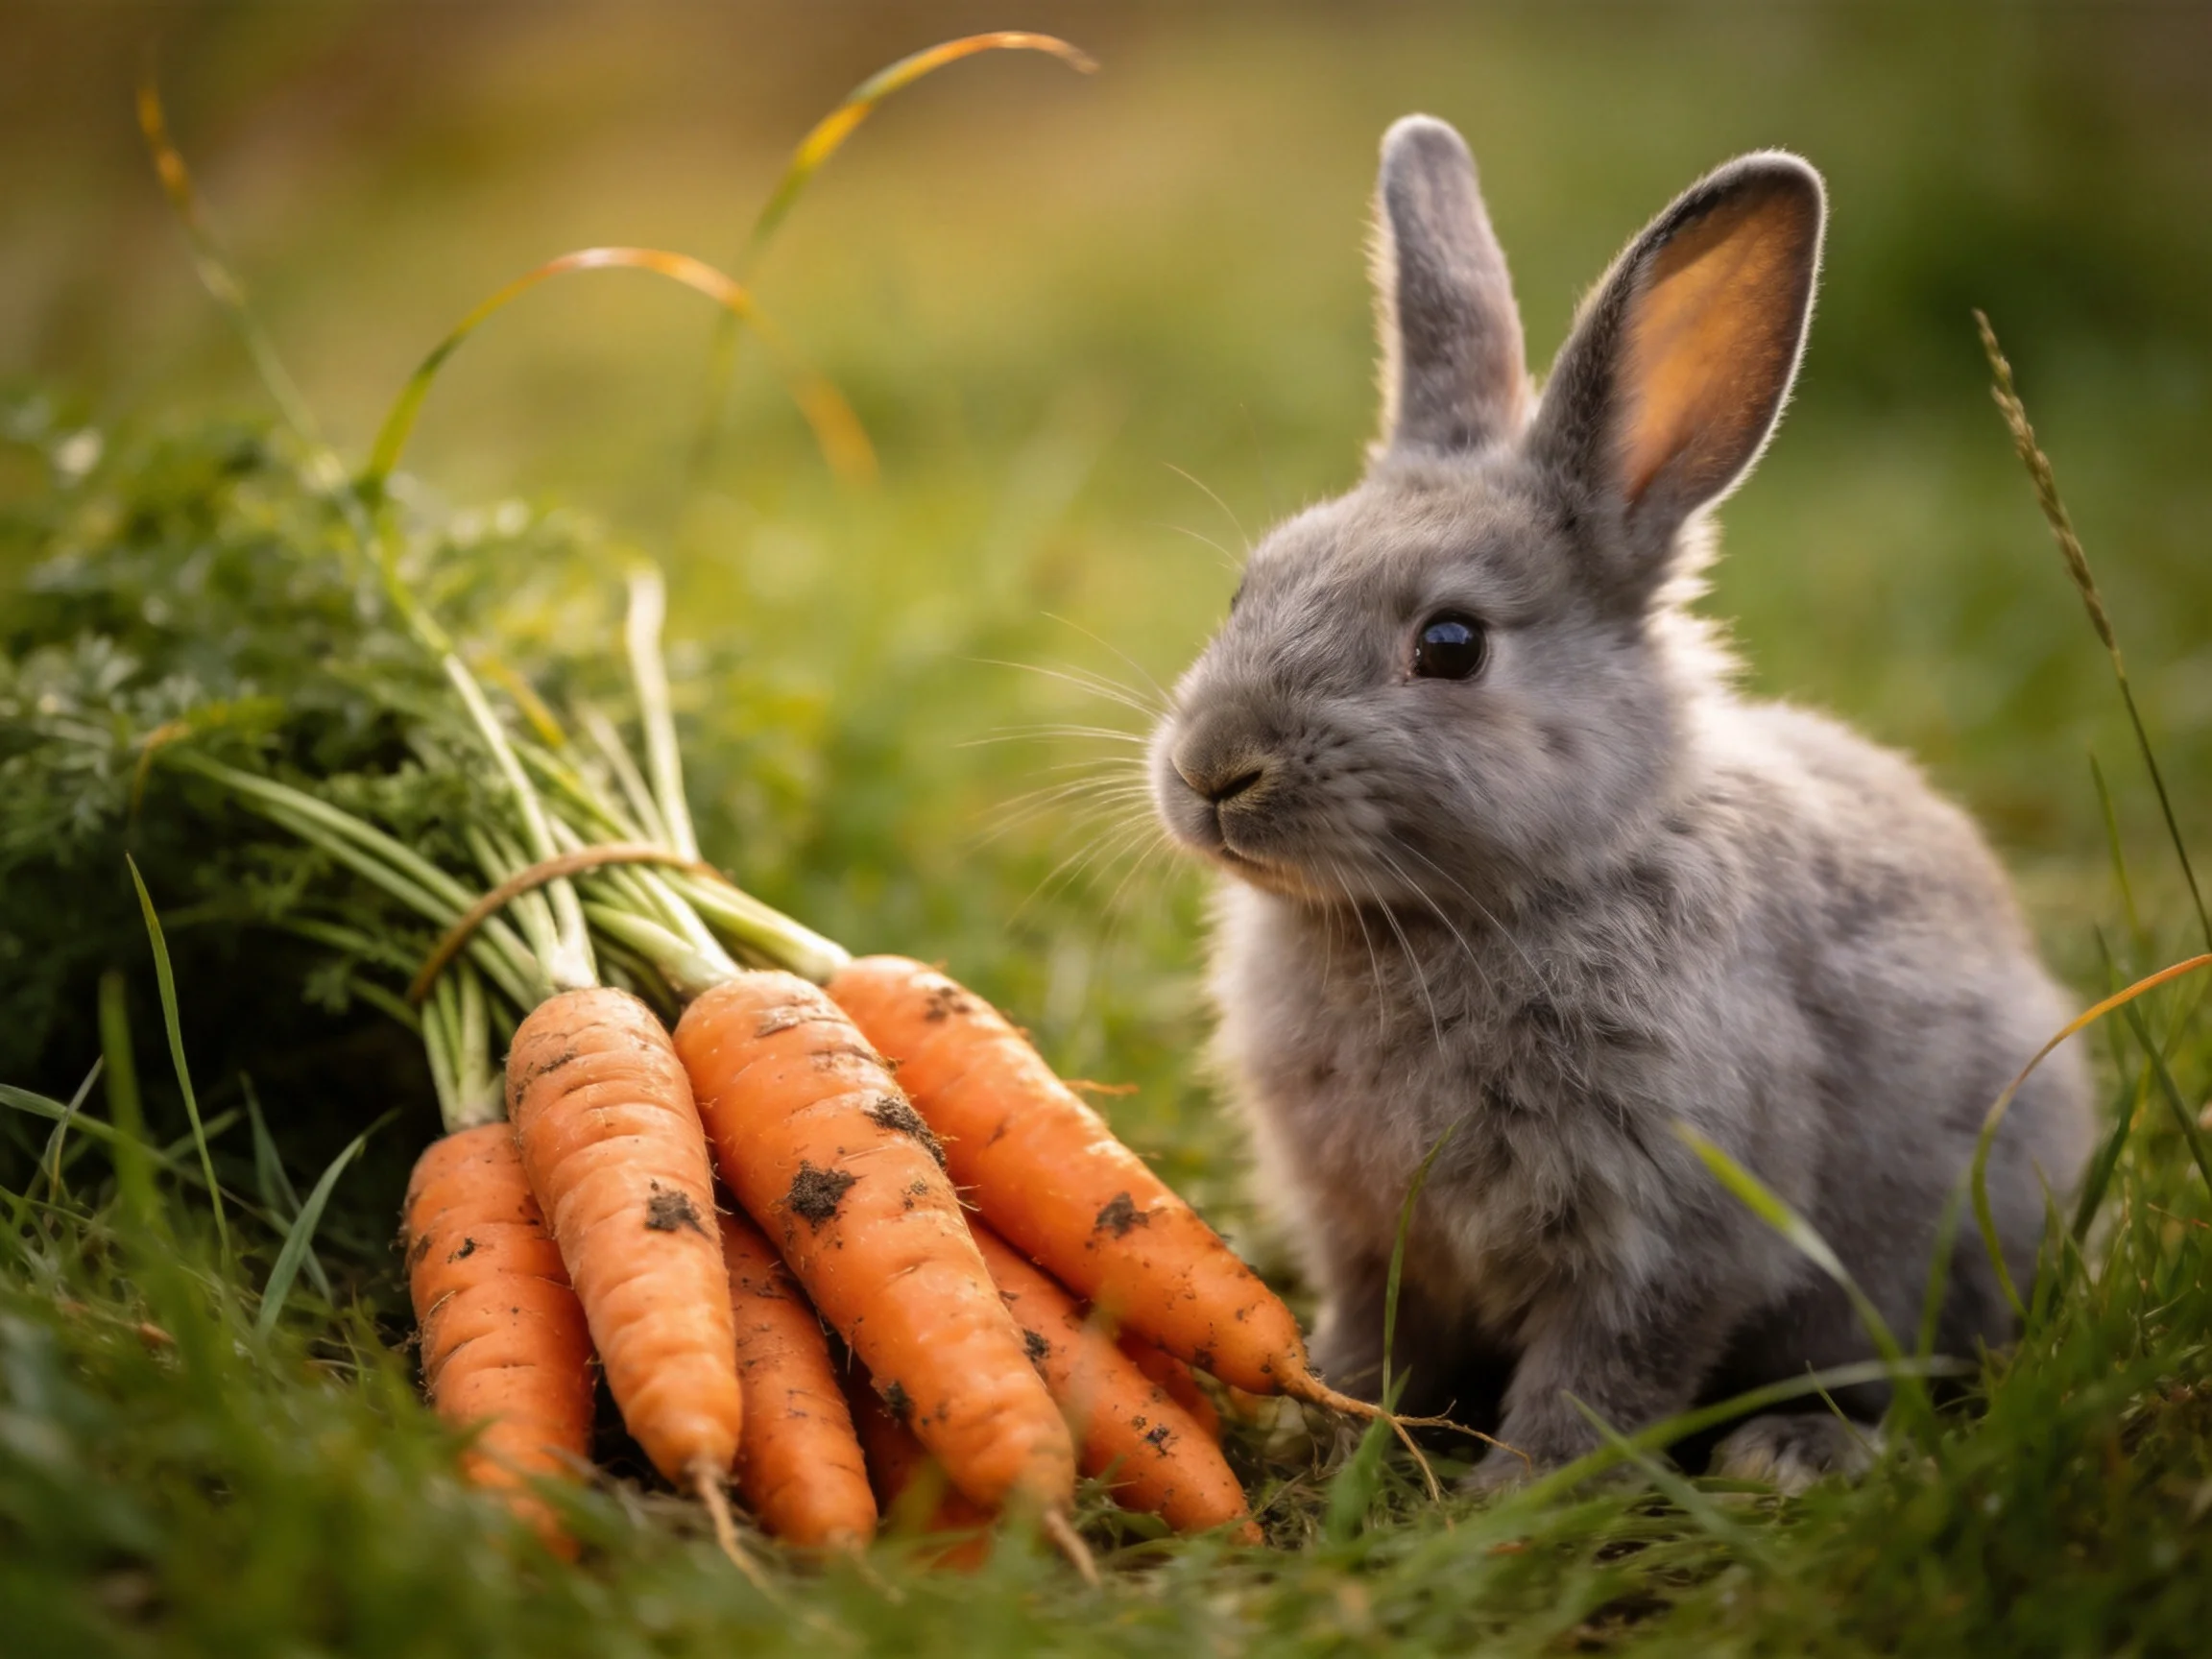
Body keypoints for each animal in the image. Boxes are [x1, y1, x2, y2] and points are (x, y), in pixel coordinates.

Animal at [1147, 115, 2094, 1492]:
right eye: (1245, 591)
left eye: (1450, 645)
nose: (1214, 769)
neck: (1459, 912)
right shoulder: (1367, 1232)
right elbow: (1377, 1339)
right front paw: (1327, 1426)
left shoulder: (1667, 1225)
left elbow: (1599, 1379)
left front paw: (1506, 1499)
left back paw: (1794, 1452)